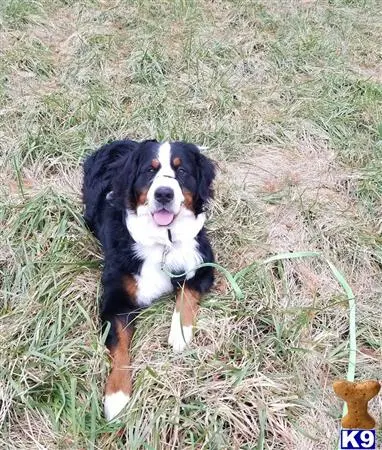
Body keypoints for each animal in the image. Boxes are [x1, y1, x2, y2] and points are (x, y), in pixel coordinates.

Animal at [82, 139, 216, 420]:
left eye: (181, 171)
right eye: (149, 171)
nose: (164, 193)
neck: (163, 241)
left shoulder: (203, 265)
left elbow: (186, 295)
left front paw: (180, 334)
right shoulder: (116, 300)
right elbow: (120, 347)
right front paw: (117, 396)